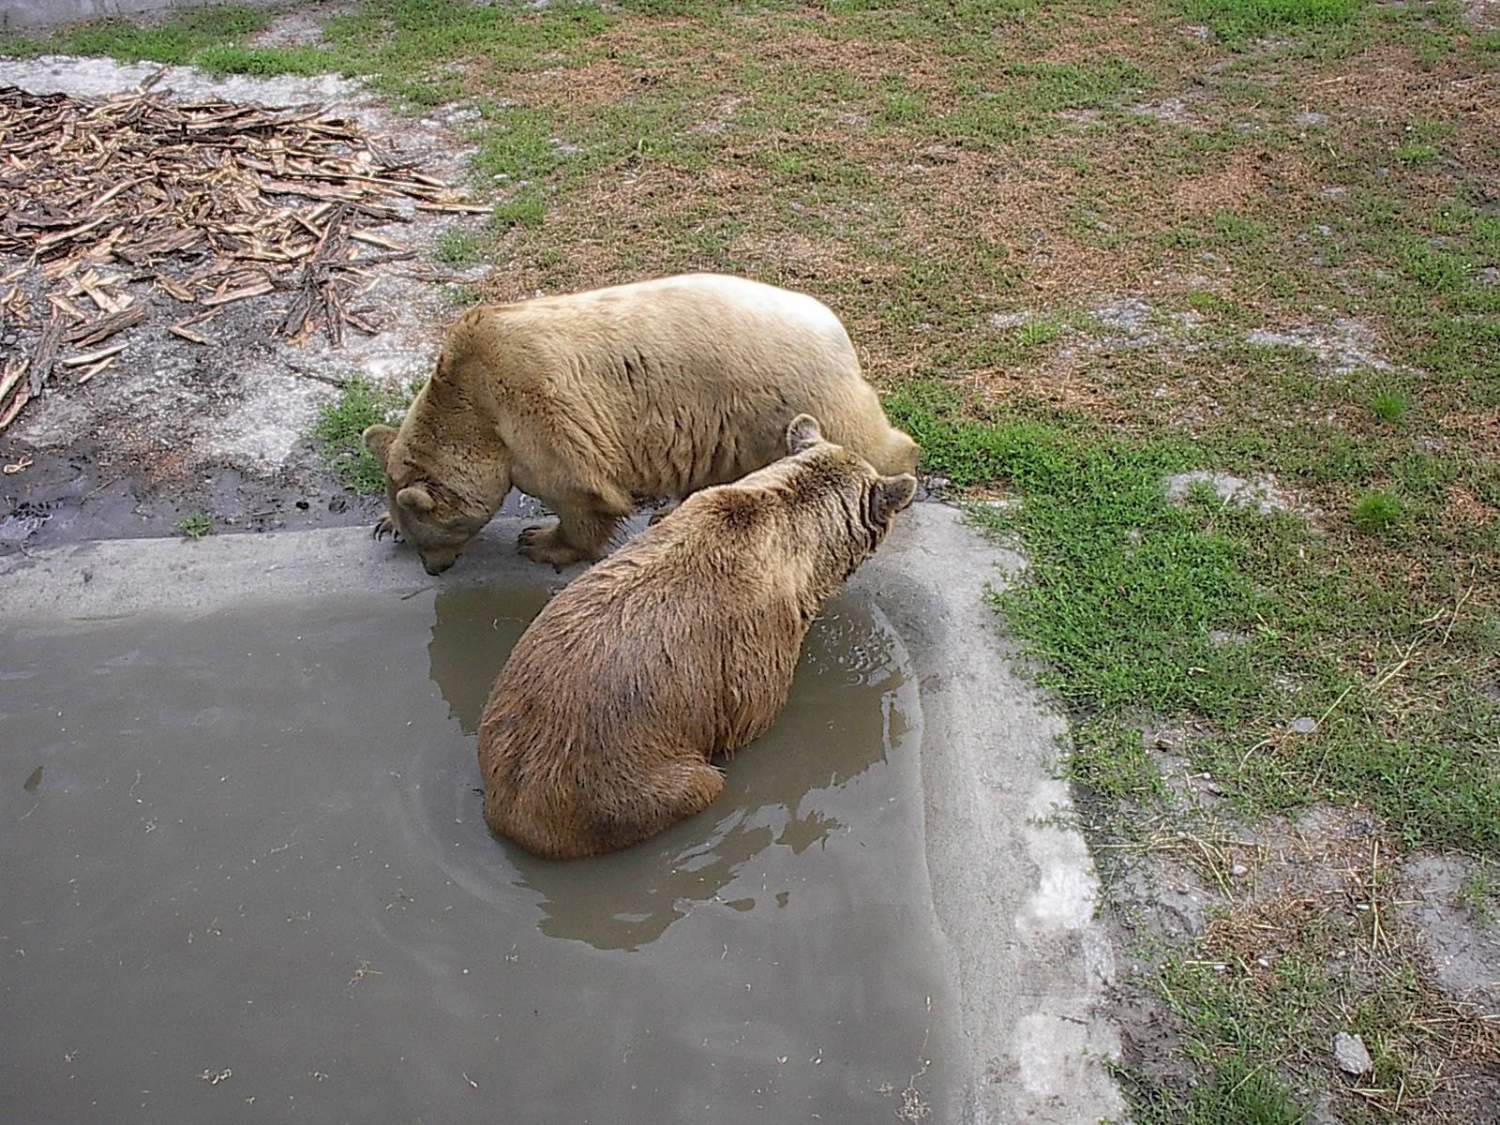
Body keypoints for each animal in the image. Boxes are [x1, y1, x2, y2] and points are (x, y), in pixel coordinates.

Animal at [361, 273, 918, 575]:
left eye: (431, 537)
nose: (435, 568)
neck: (469, 401)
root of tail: (834, 326)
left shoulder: (534, 408)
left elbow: (579, 493)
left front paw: (540, 541)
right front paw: (382, 523)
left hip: (786, 393)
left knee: (864, 438)